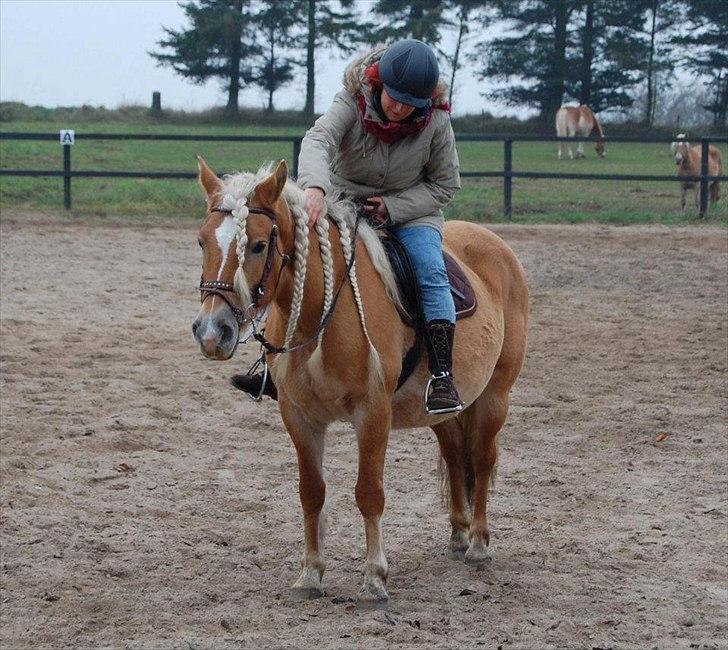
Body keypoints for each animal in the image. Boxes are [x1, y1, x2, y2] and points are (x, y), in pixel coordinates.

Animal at [188, 157, 528, 604]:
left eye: (259, 245)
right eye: (202, 242)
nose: (213, 332)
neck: (321, 314)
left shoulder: (373, 413)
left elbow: (369, 493)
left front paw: (374, 579)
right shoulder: (299, 416)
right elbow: (311, 492)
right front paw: (311, 574)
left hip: (494, 397)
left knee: (483, 460)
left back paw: (478, 544)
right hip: (444, 408)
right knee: (456, 455)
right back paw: (458, 534)